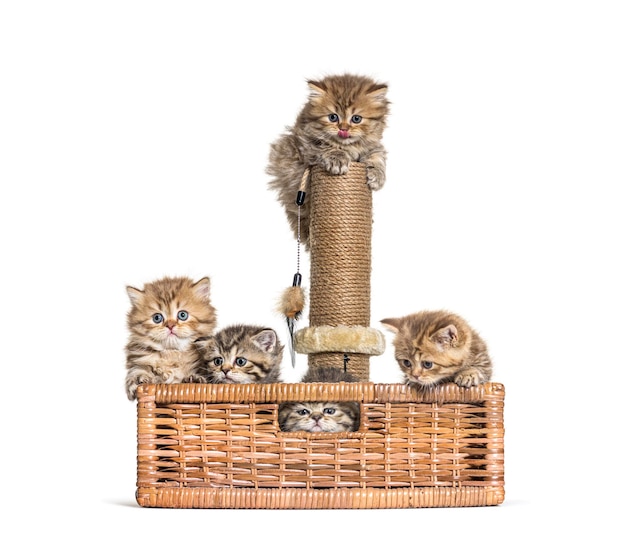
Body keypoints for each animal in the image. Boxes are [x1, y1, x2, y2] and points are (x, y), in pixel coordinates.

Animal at [266, 73, 388, 249]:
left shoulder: (373, 147)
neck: (348, 147)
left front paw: (377, 176)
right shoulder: (305, 146)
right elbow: (326, 147)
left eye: (356, 119)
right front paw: (338, 159)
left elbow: (377, 157)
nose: (343, 129)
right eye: (333, 117)